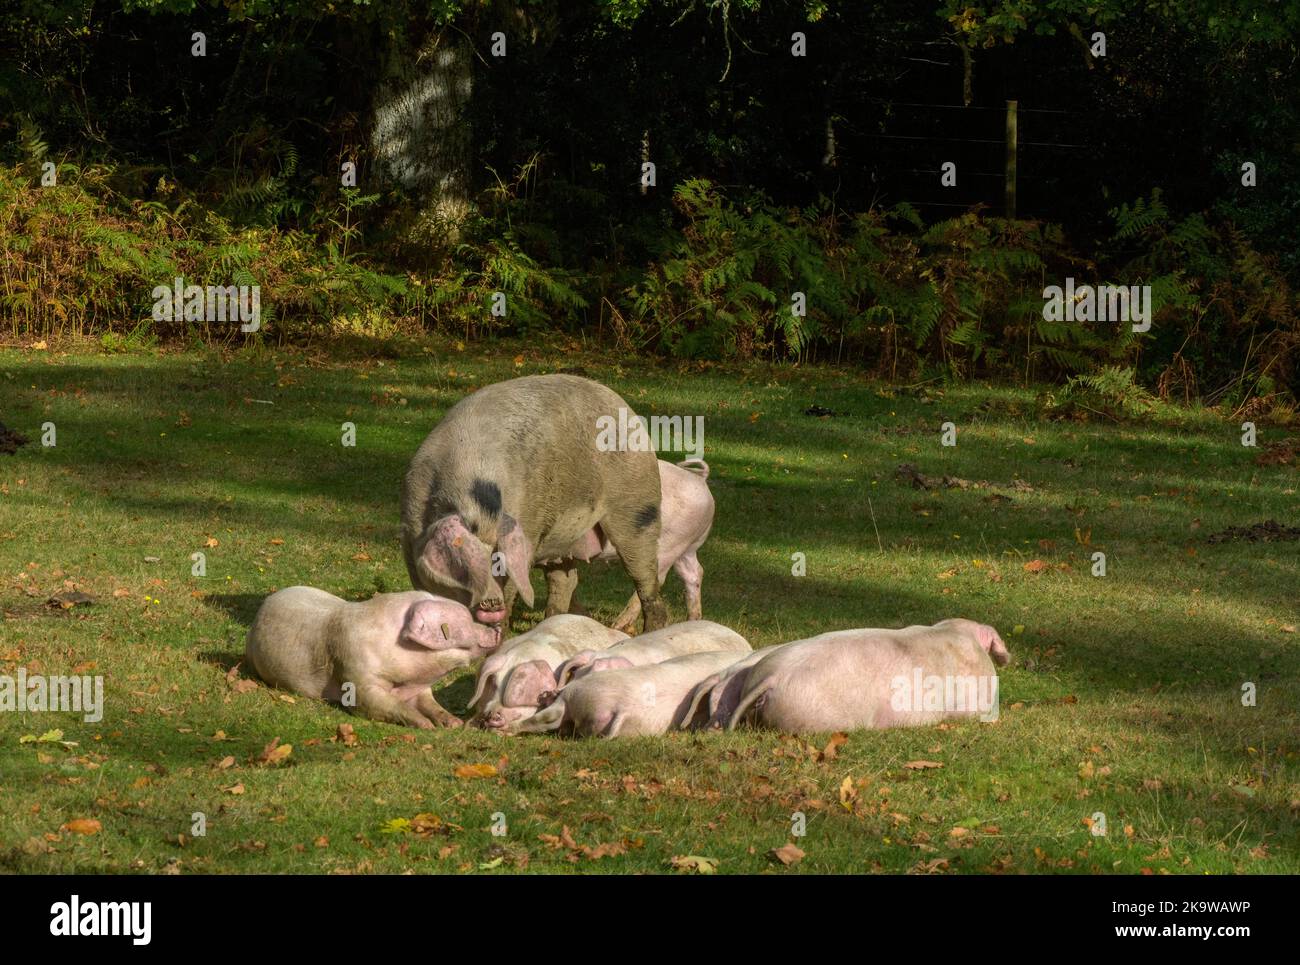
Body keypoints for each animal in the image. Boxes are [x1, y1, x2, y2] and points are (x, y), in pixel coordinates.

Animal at [245, 587, 501, 729]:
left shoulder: (420, 689)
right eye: (464, 621)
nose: (496, 628)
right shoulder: (355, 678)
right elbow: (384, 704)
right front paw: (426, 725)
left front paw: (453, 723)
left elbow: (431, 703)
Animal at [400, 374, 667, 634]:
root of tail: (625, 407)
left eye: (497, 562)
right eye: (463, 566)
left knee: (647, 580)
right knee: (565, 580)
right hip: (561, 535)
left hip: (639, 509)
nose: (491, 603)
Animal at [549, 459, 715, 632]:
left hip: (668, 545)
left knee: (653, 579)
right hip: (686, 545)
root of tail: (700, 480)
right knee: (694, 573)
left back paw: (618, 625)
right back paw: (693, 621)